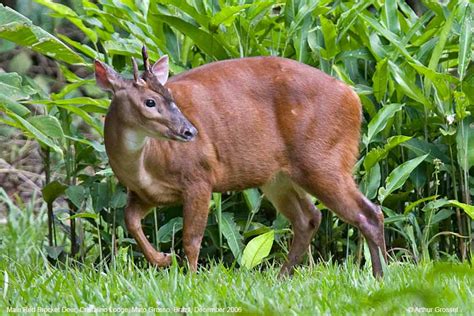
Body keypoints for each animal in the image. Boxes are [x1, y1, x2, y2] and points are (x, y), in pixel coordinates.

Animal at [94, 46, 386, 276]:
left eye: (171, 97)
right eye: (150, 102)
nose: (190, 131)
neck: (144, 165)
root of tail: (354, 97)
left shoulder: (199, 176)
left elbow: (191, 239)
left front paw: (189, 279)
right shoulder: (145, 194)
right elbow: (130, 221)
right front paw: (162, 259)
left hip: (324, 160)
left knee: (369, 212)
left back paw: (381, 275)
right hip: (278, 177)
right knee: (309, 218)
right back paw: (282, 276)